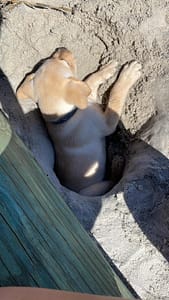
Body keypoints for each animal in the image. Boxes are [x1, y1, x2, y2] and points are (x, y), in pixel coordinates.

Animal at [17, 47, 141, 196]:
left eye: (45, 61)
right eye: (63, 61)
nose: (61, 48)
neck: (67, 115)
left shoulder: (87, 93)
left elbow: (91, 78)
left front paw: (107, 69)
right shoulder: (107, 123)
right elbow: (115, 96)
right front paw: (128, 75)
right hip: (94, 188)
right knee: (111, 183)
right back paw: (117, 165)